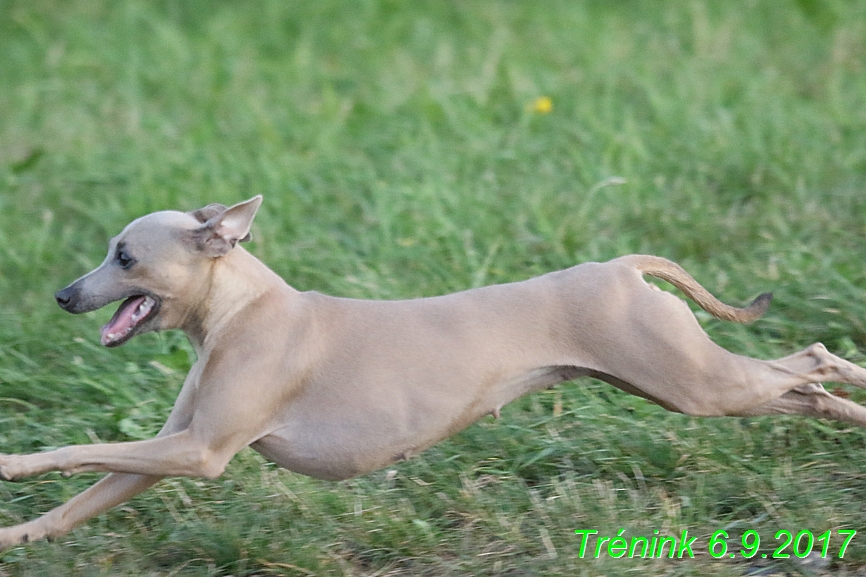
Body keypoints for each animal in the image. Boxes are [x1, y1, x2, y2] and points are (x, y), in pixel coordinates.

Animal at [1, 196, 864, 548]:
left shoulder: (201, 453)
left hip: (695, 383)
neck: (242, 309)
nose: (64, 294)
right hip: (689, 381)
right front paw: (17, 536)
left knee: (813, 360)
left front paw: (11, 464)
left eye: (123, 256)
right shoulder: (167, 452)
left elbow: (71, 452)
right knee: (804, 385)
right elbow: (76, 501)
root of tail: (621, 266)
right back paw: (848, 412)